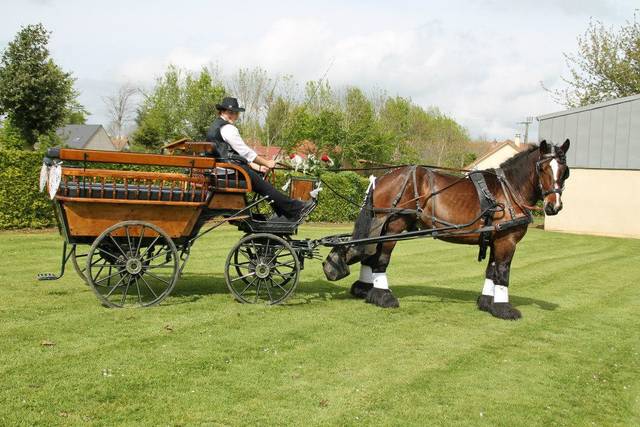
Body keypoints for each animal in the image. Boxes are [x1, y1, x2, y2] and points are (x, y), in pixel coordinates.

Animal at [324, 140, 568, 320]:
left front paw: (487, 303)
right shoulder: (506, 241)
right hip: (394, 226)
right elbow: (503, 273)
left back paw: (365, 290)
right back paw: (383, 296)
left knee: (369, 254)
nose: (553, 207)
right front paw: (504, 309)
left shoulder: (494, 239)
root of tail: (382, 178)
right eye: (543, 168)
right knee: (380, 259)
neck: (508, 191)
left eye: (565, 172)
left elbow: (491, 271)